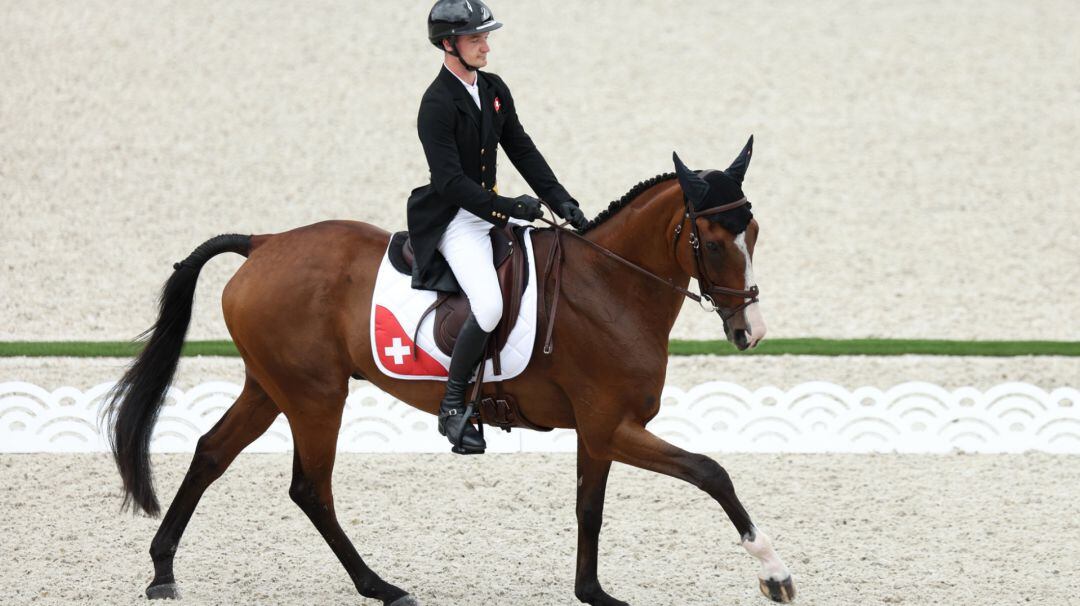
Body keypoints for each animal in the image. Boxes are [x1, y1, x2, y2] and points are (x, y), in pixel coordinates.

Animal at [105, 136, 796, 605]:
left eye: (755, 232)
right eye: (712, 242)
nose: (750, 332)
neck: (611, 287)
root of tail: (265, 243)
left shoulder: (599, 433)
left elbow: (589, 509)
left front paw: (594, 593)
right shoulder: (611, 427)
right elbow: (711, 472)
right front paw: (774, 572)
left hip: (270, 387)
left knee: (211, 452)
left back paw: (163, 570)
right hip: (315, 396)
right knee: (310, 488)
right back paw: (381, 586)